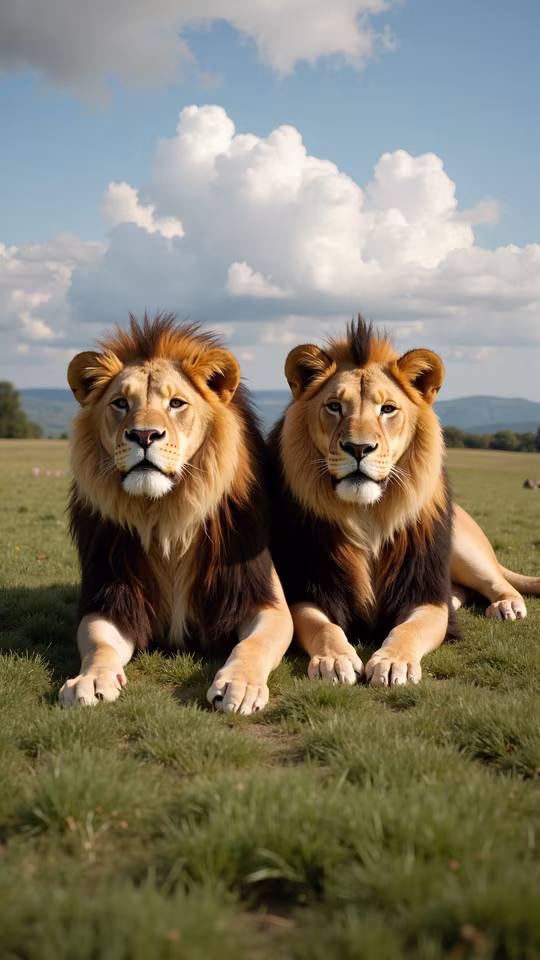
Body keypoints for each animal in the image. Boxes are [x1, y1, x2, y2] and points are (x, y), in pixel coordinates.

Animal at [60, 313, 293, 713]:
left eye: (176, 403)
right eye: (120, 403)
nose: (144, 435)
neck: (165, 515)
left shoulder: (262, 597)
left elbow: (253, 644)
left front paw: (240, 684)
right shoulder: (110, 598)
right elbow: (100, 645)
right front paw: (89, 680)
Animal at [267, 317, 540, 686]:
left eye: (387, 409)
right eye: (334, 406)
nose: (358, 448)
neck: (367, 516)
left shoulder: (424, 595)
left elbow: (409, 630)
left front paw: (393, 662)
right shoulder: (306, 589)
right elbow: (323, 627)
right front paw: (335, 660)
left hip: (463, 548)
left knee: (499, 580)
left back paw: (505, 605)